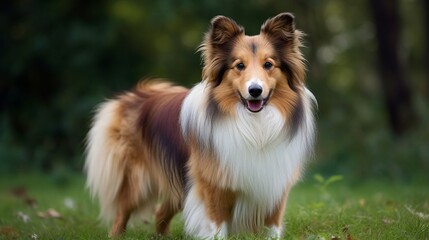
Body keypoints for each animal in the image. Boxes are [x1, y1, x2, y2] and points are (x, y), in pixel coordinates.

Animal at [85, 12, 316, 238]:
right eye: (239, 66)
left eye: (268, 64)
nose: (255, 91)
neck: (254, 125)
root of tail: (136, 94)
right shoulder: (213, 182)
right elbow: (217, 224)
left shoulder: (275, 181)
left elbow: (273, 224)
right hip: (138, 180)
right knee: (122, 212)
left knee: (160, 211)